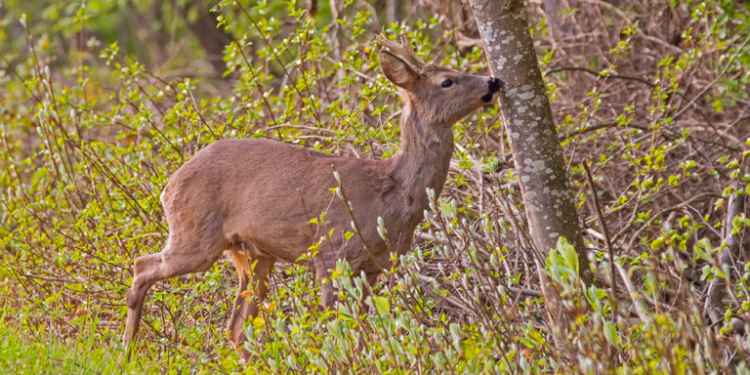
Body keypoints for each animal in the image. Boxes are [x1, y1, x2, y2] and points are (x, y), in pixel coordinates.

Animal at [123, 36, 502, 362]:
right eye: (447, 81)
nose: (494, 81)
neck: (391, 195)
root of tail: (168, 185)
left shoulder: (374, 266)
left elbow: (359, 330)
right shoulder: (333, 252)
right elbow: (338, 330)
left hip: (254, 255)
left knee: (235, 328)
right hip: (196, 234)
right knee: (143, 265)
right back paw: (126, 353)